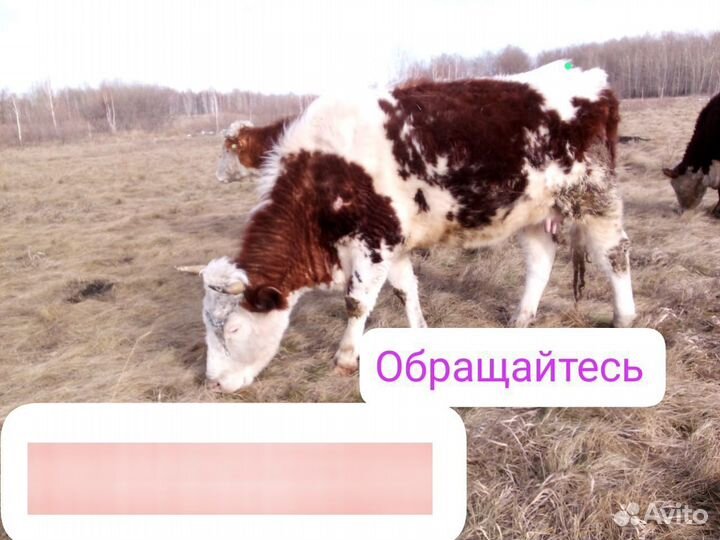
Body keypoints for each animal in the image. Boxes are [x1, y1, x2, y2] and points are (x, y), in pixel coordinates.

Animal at [192, 60, 636, 393]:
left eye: (233, 329)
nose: (213, 383)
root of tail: (593, 80)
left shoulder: (374, 239)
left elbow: (356, 302)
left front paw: (345, 357)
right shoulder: (395, 242)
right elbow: (406, 289)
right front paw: (420, 331)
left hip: (595, 196)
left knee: (614, 254)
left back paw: (624, 316)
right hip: (532, 208)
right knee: (541, 260)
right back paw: (522, 317)